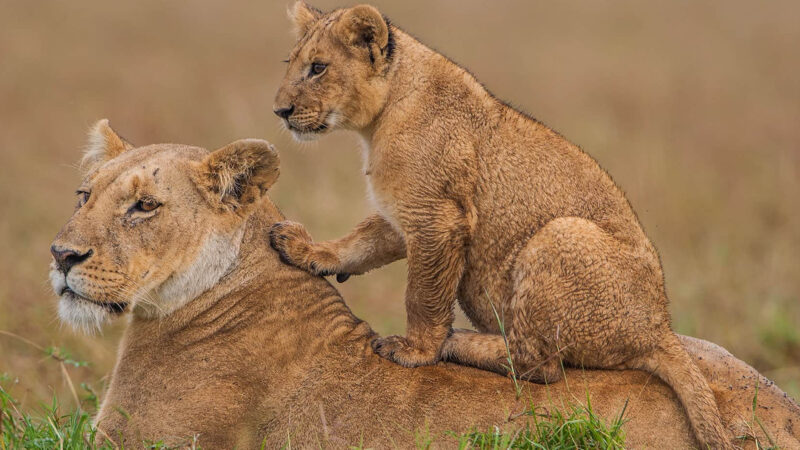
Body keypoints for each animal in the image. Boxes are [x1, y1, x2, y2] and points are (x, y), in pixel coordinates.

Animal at [270, 3, 746, 447]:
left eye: (318, 68)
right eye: (291, 63)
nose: (280, 111)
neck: (380, 119)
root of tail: (659, 327)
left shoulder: (438, 217)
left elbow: (422, 296)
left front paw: (416, 351)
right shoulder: (402, 214)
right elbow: (360, 242)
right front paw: (305, 250)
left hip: (559, 235)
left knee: (542, 364)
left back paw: (457, 341)